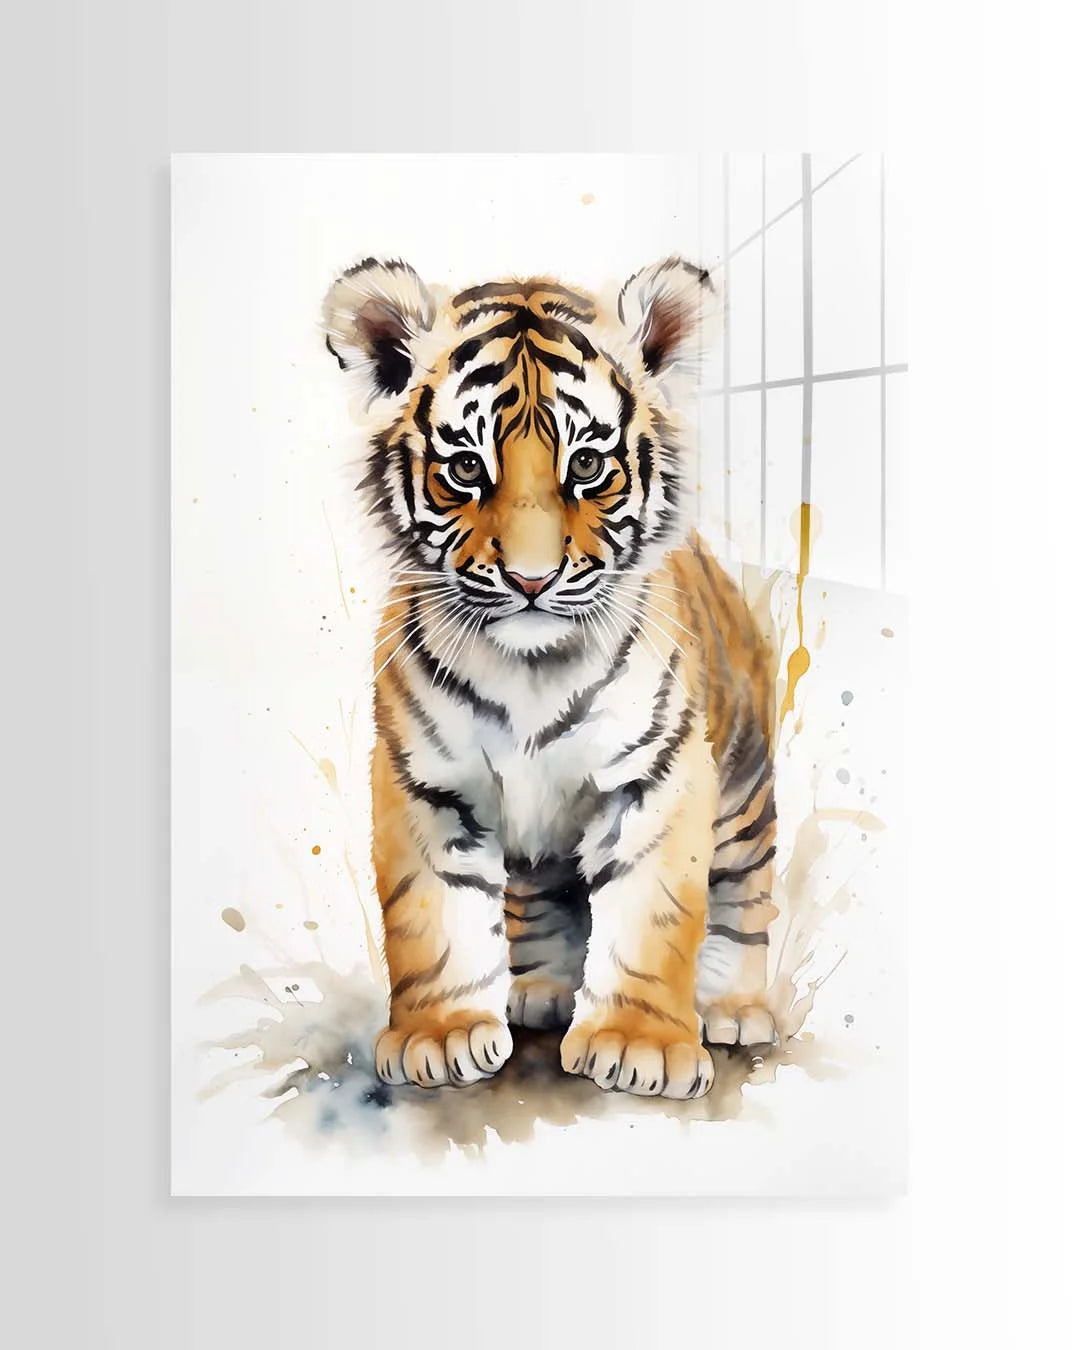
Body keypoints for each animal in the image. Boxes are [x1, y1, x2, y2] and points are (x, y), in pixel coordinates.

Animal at [322, 255, 778, 1100]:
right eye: (466, 467)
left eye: (588, 465)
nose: (531, 581)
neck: (529, 671)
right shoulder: (424, 780)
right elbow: (430, 916)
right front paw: (439, 1035)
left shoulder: (658, 777)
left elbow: (655, 914)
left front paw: (640, 1045)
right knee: (535, 894)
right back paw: (538, 993)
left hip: (744, 788)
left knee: (745, 890)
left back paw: (737, 1008)